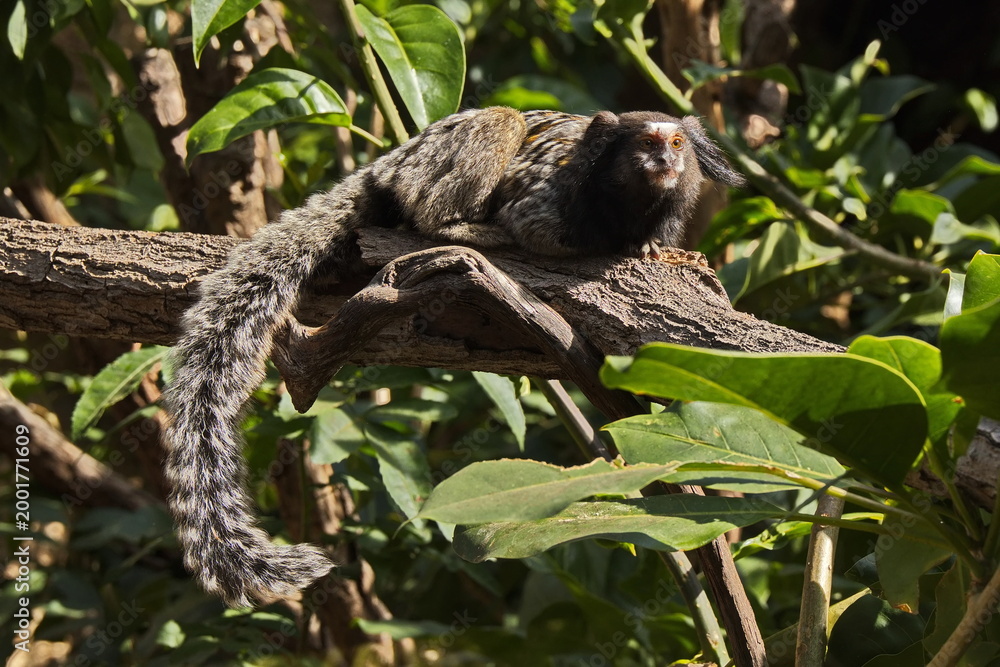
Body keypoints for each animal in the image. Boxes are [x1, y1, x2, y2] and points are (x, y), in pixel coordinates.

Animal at [162, 106, 745, 607]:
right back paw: (457, 225)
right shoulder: (550, 198)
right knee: (491, 132)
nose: (665, 161)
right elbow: (537, 227)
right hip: (425, 167)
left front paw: (659, 252)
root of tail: (389, 161)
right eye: (646, 144)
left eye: (676, 144)